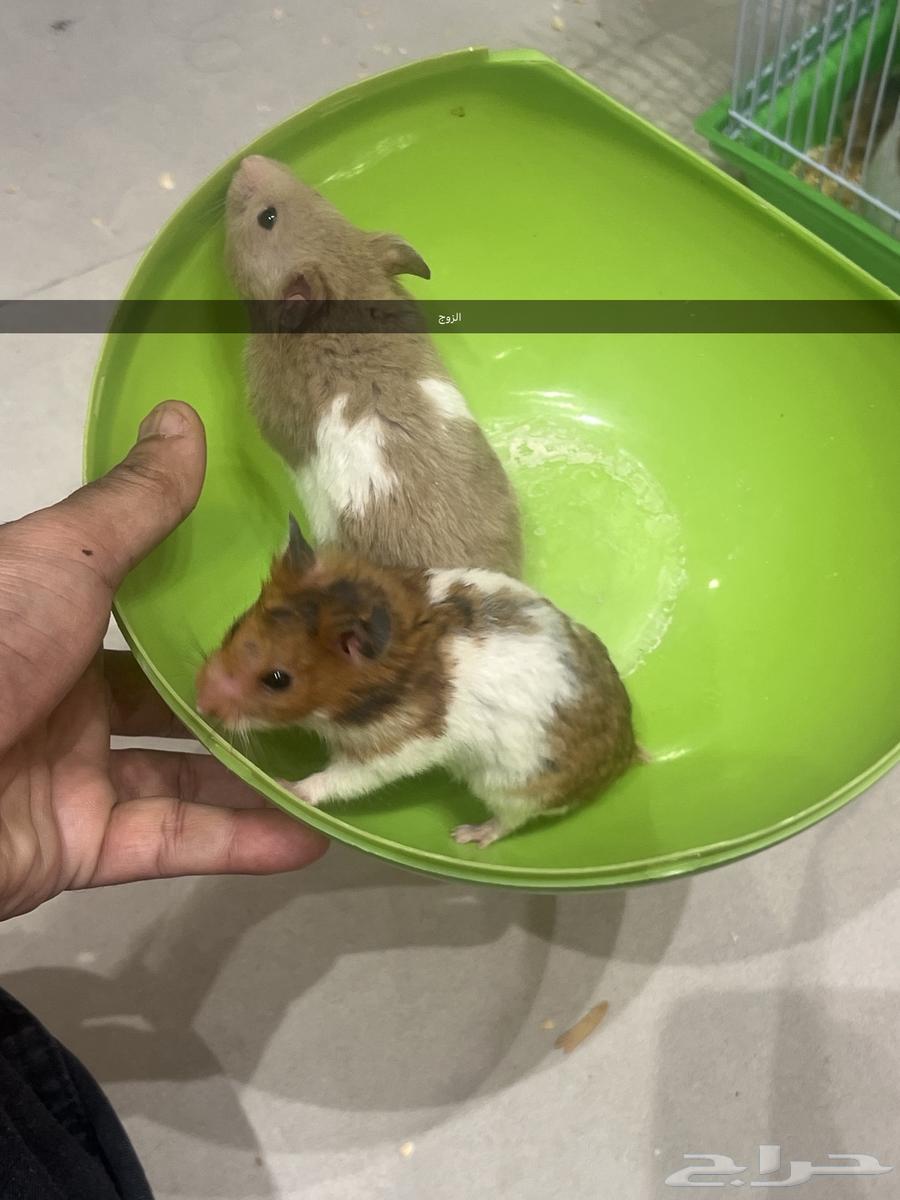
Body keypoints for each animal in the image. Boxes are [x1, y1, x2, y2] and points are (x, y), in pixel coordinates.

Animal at [195, 518, 639, 848]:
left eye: (277, 679)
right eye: (235, 626)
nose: (199, 703)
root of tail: (627, 753)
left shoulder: (395, 751)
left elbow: (341, 778)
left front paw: (286, 787)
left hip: (513, 786)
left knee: (510, 822)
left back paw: (466, 836)